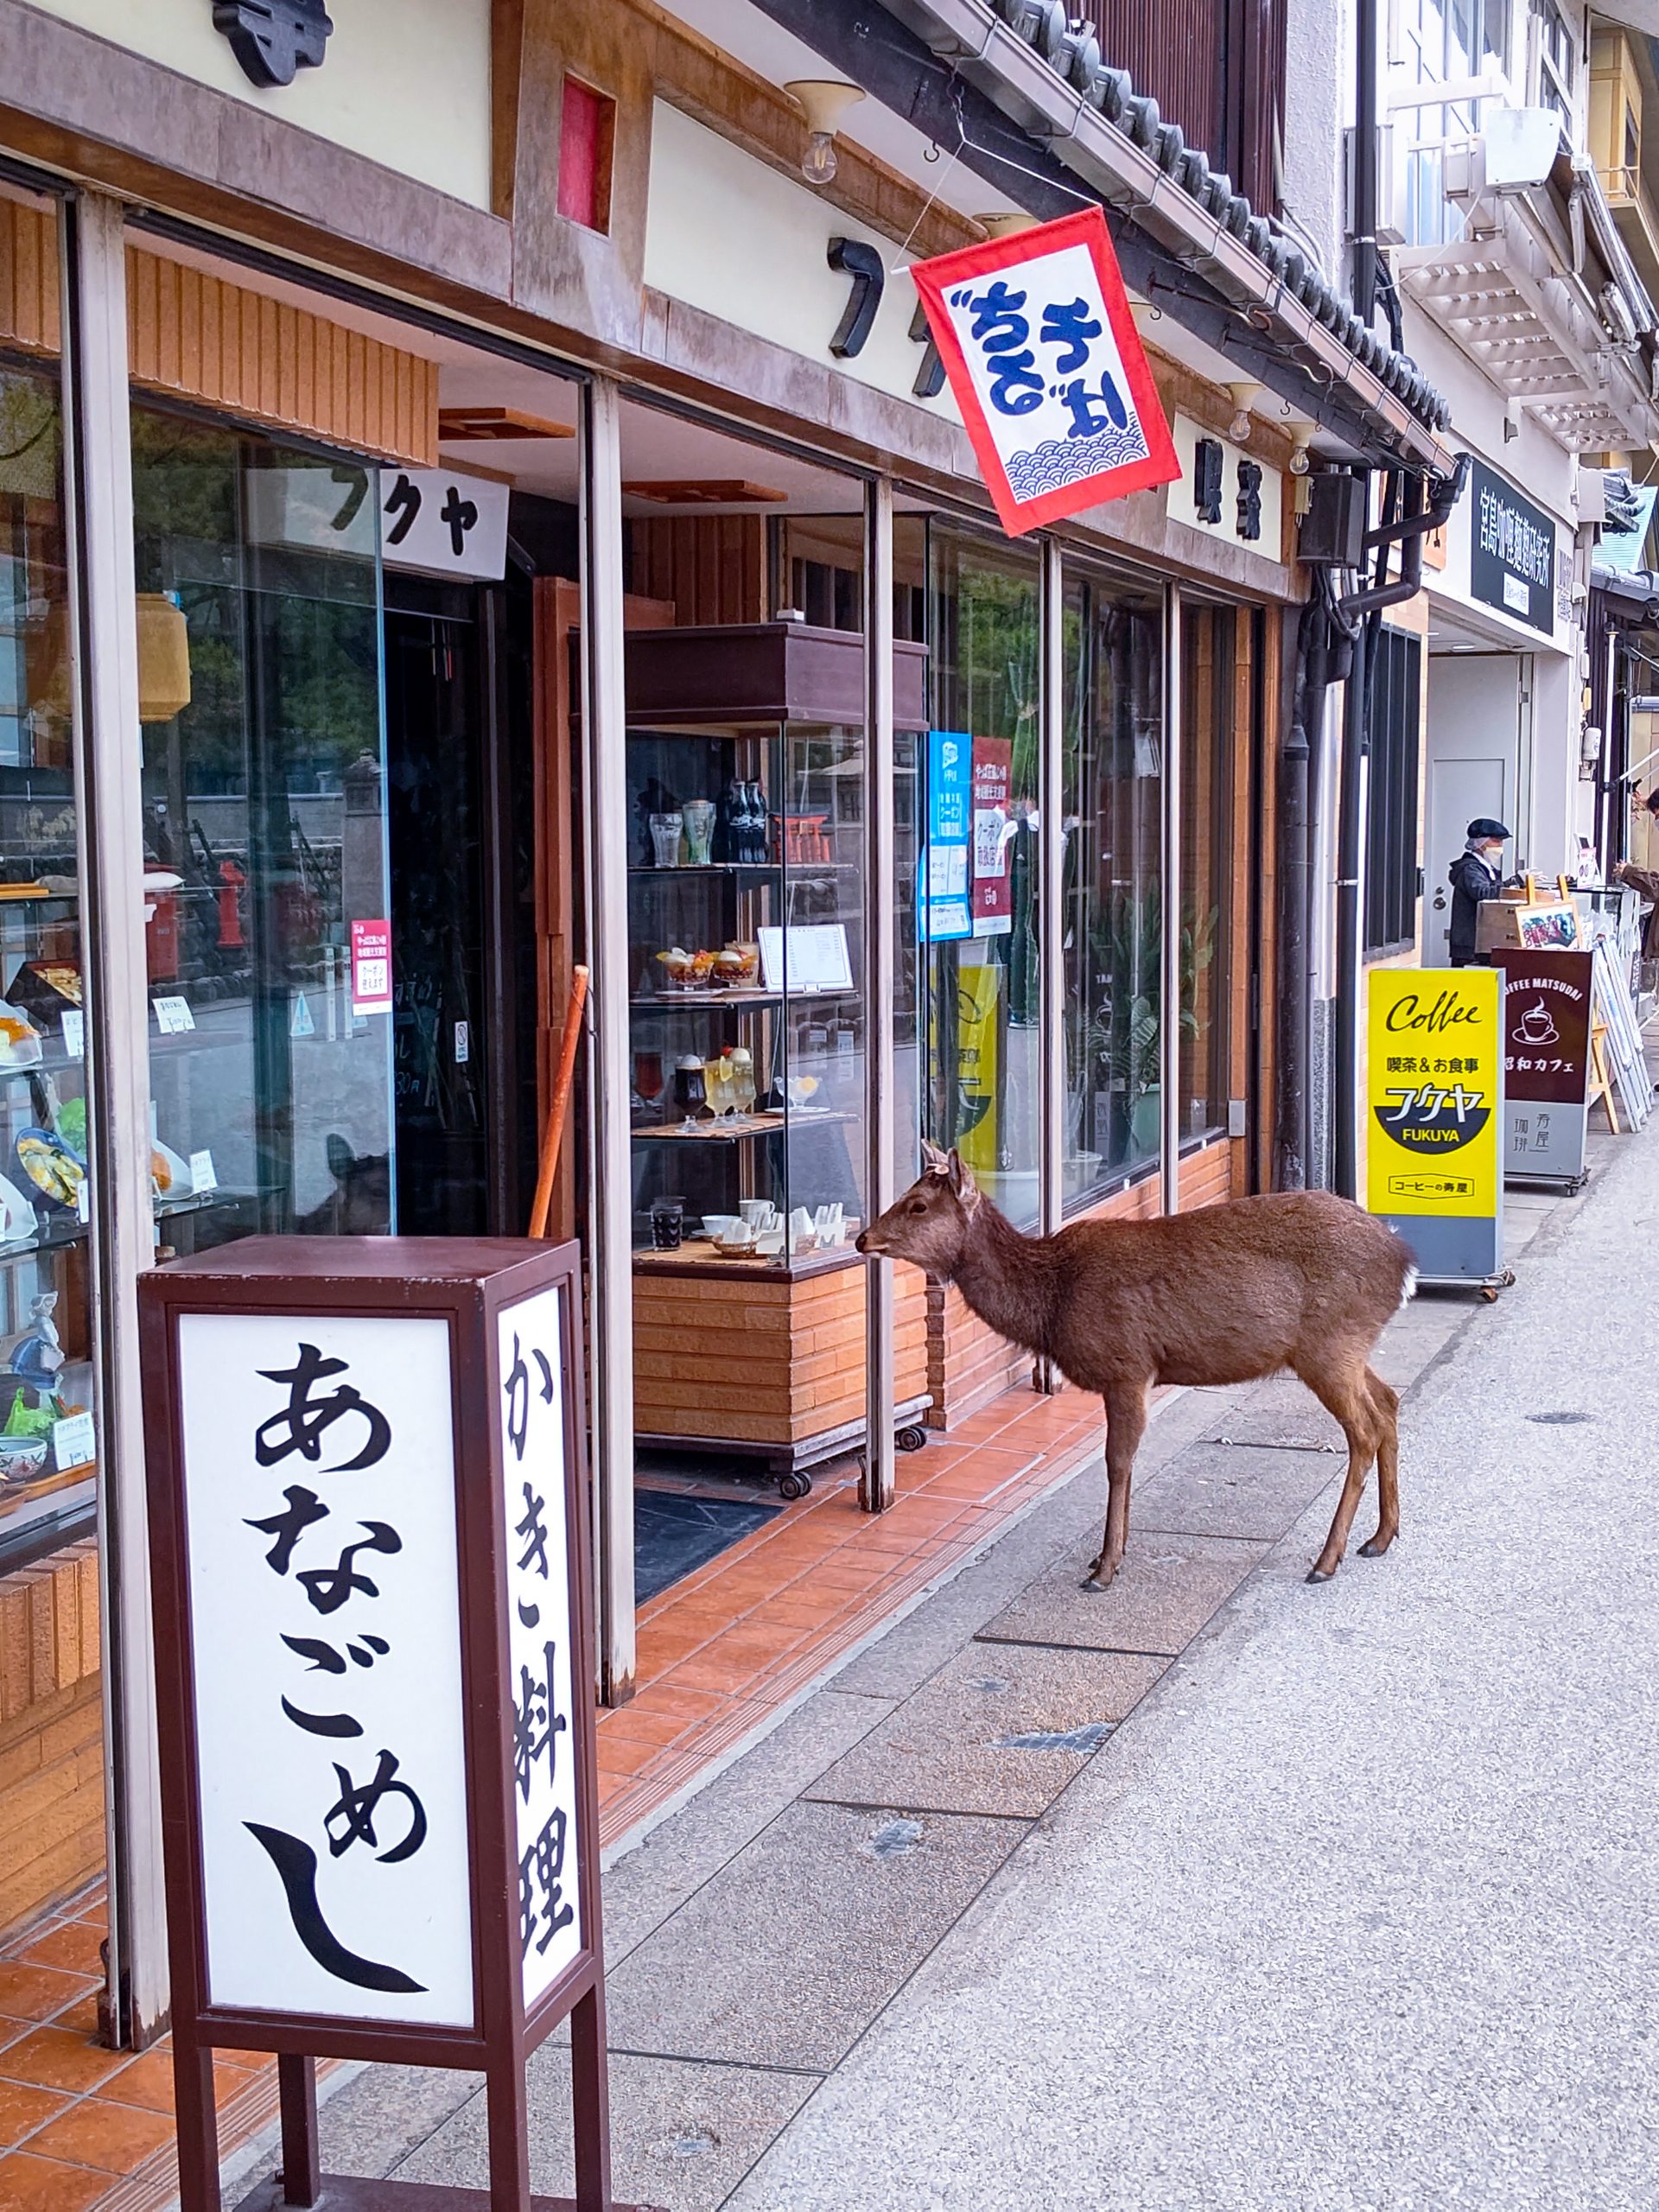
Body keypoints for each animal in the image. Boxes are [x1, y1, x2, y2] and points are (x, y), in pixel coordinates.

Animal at [856, 1144, 1415, 1589]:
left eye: (918, 1204)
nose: (863, 1239)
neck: (1051, 1303)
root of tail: (1403, 1261)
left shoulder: (1126, 1365)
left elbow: (1118, 1462)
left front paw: (1105, 1567)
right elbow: (1122, 1462)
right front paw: (1104, 1558)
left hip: (1330, 1344)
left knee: (1364, 1429)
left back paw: (1327, 1559)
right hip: (1346, 1348)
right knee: (1389, 1403)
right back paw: (1381, 1537)